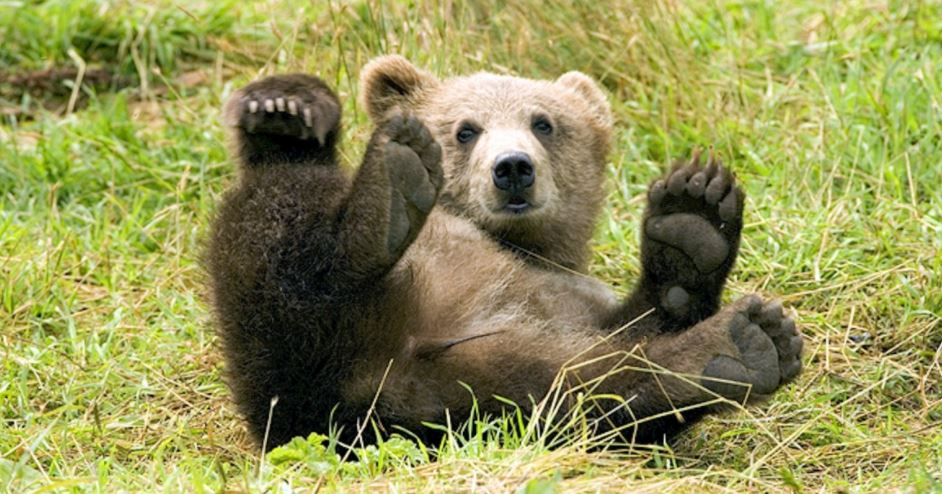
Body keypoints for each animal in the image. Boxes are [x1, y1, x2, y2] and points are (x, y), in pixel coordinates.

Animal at [206, 56, 804, 450]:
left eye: (544, 122)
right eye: (466, 129)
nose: (513, 167)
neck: (517, 244)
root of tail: (373, 380)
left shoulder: (567, 298)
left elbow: (636, 331)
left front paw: (692, 220)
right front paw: (284, 105)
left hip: (473, 388)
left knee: (584, 390)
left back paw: (738, 343)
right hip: (286, 353)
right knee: (278, 223)